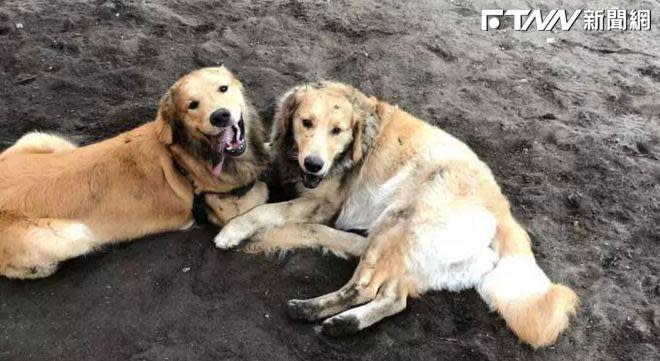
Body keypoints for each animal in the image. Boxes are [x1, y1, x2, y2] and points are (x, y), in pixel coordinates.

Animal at [0, 65, 268, 278]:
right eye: (192, 105)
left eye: (223, 88)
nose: (220, 116)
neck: (185, 155)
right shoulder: (228, 208)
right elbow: (262, 195)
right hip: (72, 234)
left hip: (41, 139)